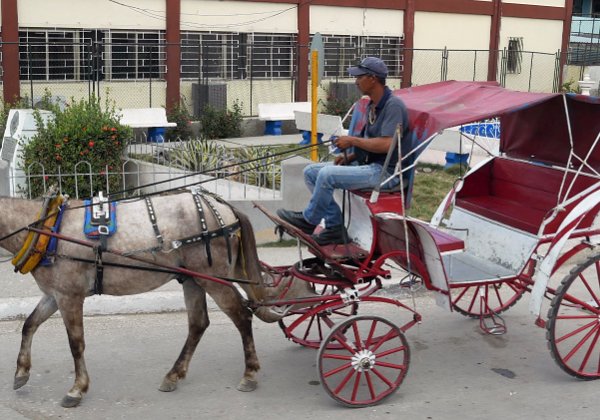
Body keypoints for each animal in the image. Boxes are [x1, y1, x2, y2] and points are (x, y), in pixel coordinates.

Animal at [0, 190, 272, 406]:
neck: (48, 230)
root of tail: (222, 206)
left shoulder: (70, 296)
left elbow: (76, 343)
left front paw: (77, 388)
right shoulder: (54, 295)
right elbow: (29, 325)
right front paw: (21, 372)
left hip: (213, 279)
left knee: (242, 317)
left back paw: (249, 374)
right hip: (192, 279)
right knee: (198, 323)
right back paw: (173, 375)